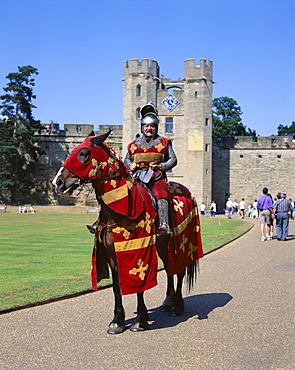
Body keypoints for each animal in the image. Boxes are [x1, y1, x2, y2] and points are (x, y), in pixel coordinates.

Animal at [52, 131, 204, 336]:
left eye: (84, 153)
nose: (58, 182)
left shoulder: (137, 251)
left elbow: (139, 286)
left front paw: (140, 321)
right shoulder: (112, 254)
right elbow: (117, 286)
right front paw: (117, 321)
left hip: (181, 243)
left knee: (178, 271)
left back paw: (178, 306)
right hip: (163, 245)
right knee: (169, 269)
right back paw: (168, 302)